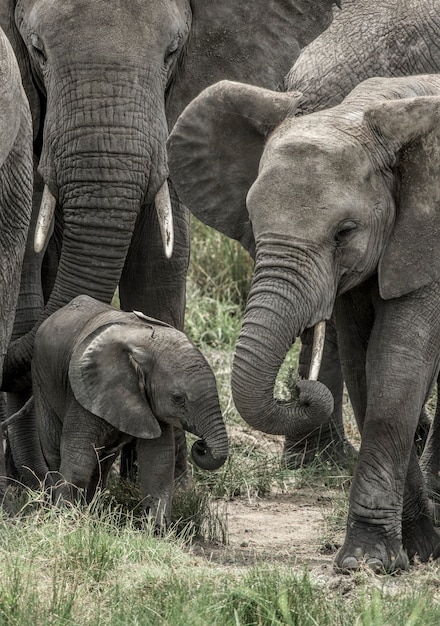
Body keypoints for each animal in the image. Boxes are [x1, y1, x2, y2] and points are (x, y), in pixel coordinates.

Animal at [15, 294, 229, 524]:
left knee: (103, 461)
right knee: (57, 451)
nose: (201, 445)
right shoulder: (84, 391)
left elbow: (158, 462)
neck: (145, 347)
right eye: (178, 398)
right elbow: (79, 459)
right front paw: (66, 520)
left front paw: (157, 529)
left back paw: (91, 510)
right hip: (42, 379)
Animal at [168, 74, 440, 572]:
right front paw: (413, 550)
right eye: (252, 221)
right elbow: (364, 368)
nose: (298, 387)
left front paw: (366, 563)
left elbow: (399, 362)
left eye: (344, 233)